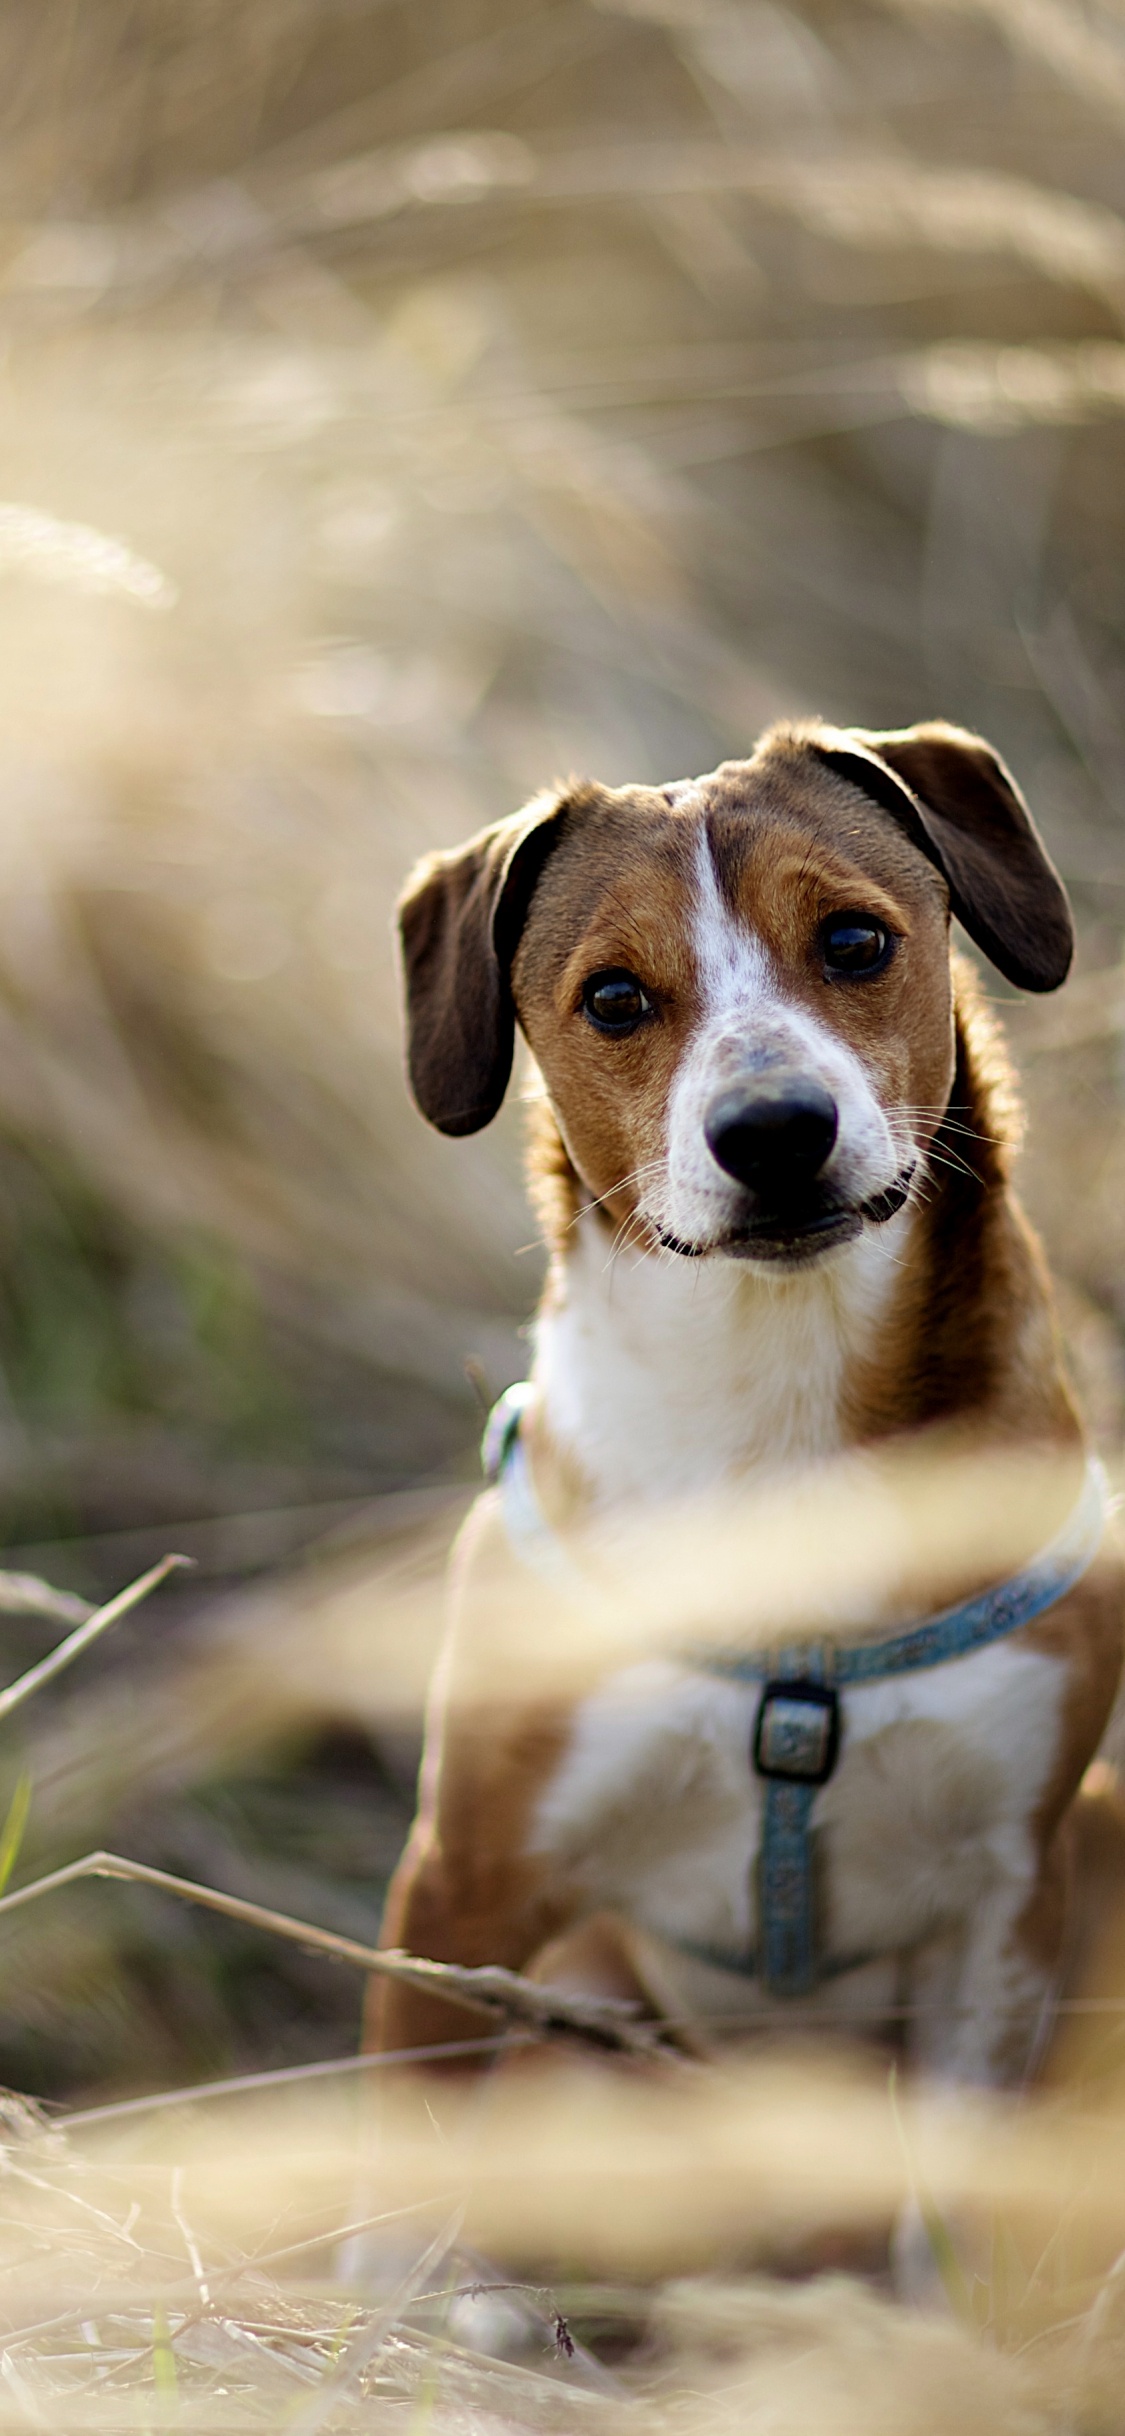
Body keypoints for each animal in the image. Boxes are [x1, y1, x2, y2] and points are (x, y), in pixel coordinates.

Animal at [370, 711, 1125, 2085]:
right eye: (615, 997)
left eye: (855, 941)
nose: (773, 1128)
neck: (780, 1389)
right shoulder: (458, 1900)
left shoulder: (1003, 1918)